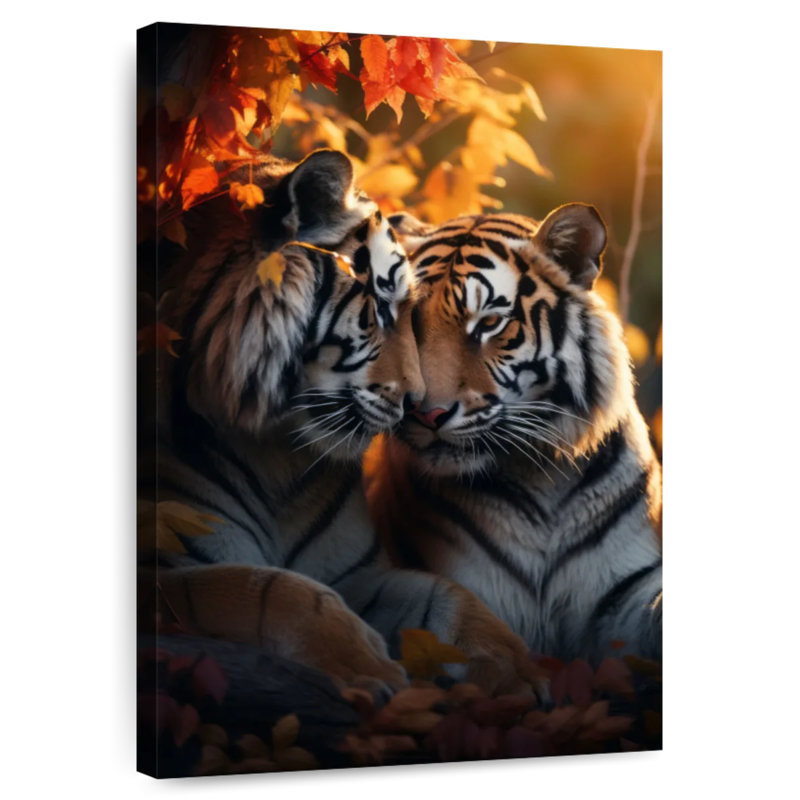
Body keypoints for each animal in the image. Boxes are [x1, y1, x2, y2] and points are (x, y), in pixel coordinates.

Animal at [138, 150, 540, 696]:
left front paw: (520, 669)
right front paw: (366, 664)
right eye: (383, 307)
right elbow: (271, 590)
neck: (275, 455)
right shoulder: (167, 566)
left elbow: (446, 594)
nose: (419, 404)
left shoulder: (357, 571)